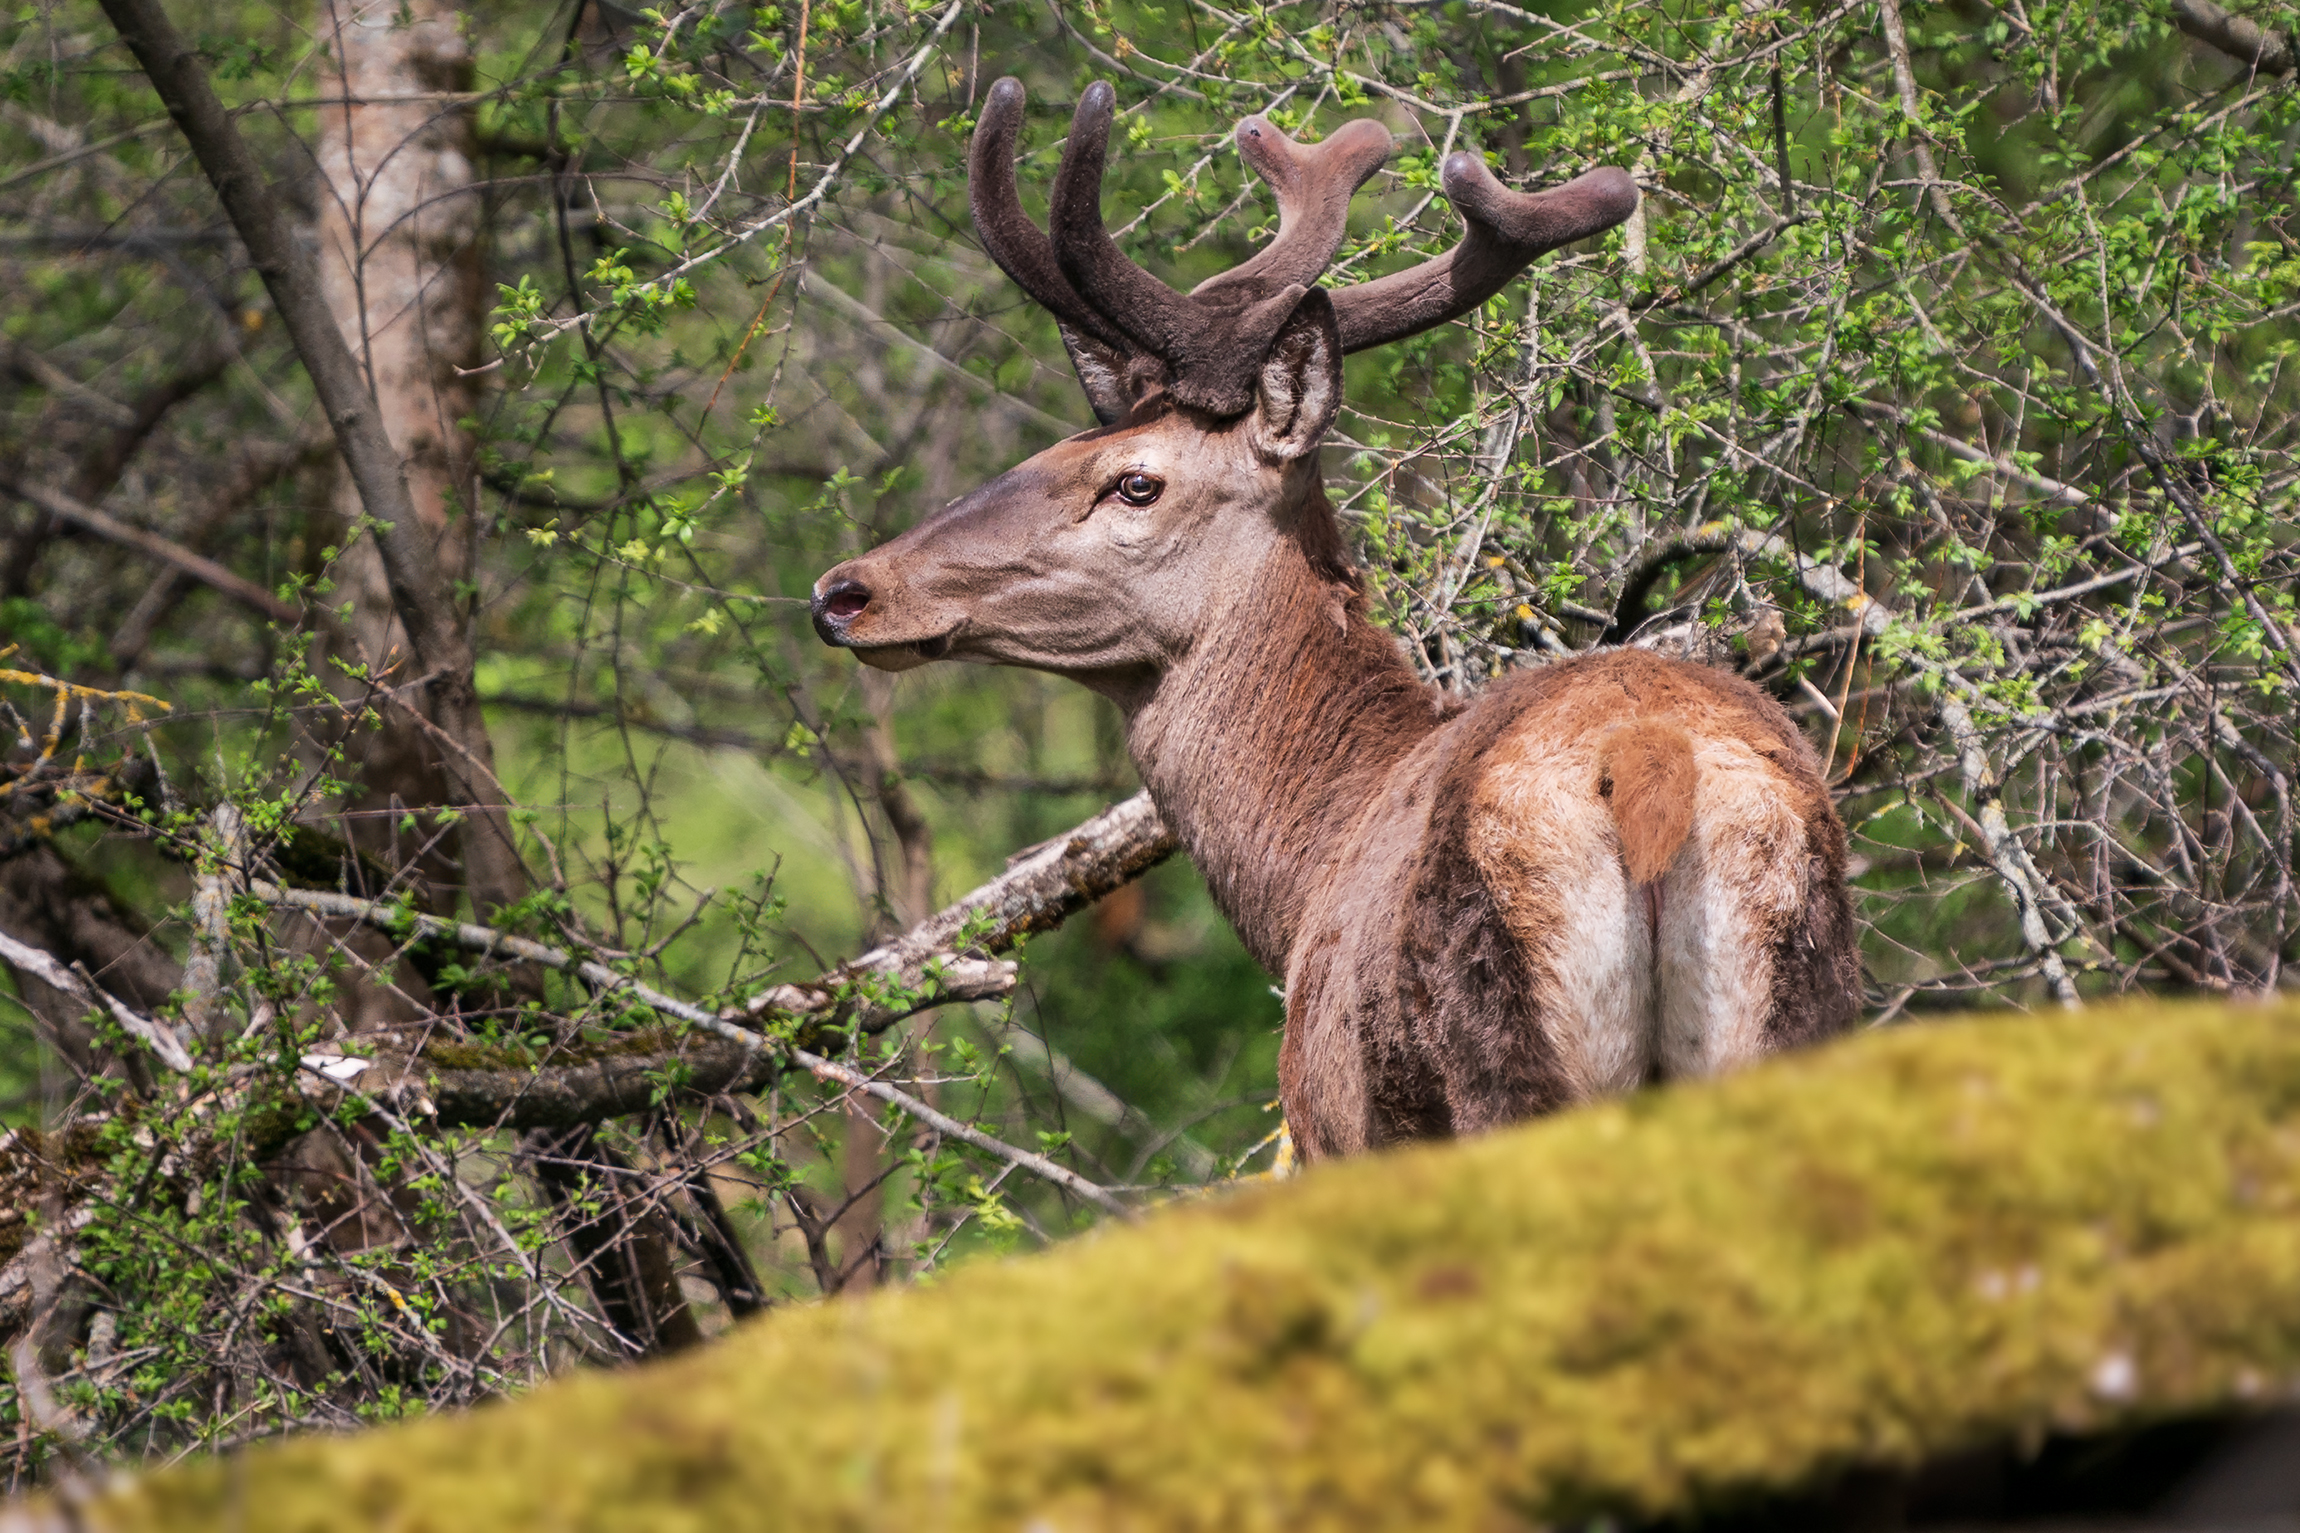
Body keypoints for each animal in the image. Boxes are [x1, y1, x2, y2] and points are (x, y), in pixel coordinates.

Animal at [812, 78, 1861, 1160]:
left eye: (1134, 481)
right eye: (1059, 442)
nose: (846, 591)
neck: (1305, 869)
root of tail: (1647, 772)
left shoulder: (1324, 1118)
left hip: (1491, 1060)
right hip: (1798, 1006)